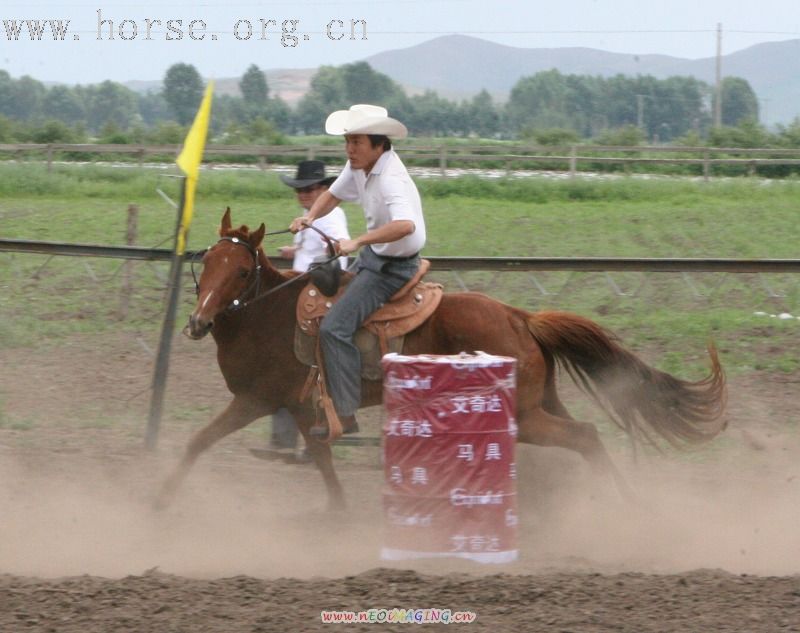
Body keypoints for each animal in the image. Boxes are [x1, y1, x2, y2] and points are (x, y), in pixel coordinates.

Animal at [155, 210, 724, 512]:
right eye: (209, 262)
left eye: (239, 271)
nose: (198, 322)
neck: (268, 316)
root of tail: (520, 317)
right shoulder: (293, 407)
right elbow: (316, 456)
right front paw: (339, 510)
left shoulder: (261, 399)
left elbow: (201, 440)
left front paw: (158, 502)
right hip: (540, 403)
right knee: (579, 437)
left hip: (523, 413)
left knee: (584, 436)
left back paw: (625, 505)